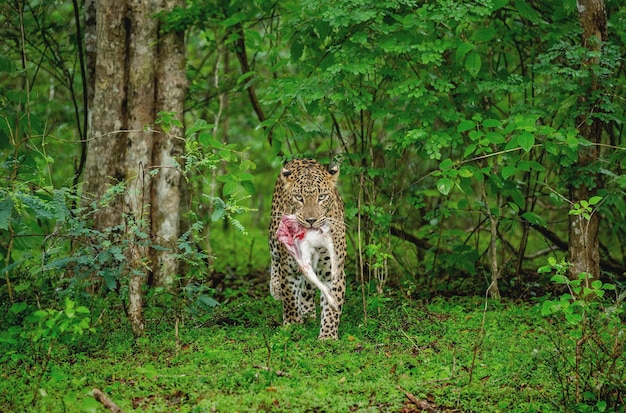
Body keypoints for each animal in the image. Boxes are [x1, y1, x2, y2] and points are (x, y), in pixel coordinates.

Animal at [268, 158, 346, 338]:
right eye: (299, 197)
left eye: (322, 197)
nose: (311, 220)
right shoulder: (289, 269)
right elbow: (290, 298)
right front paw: (293, 326)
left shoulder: (333, 271)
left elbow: (332, 305)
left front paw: (328, 336)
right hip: (274, 232)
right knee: (274, 257)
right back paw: (276, 288)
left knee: (308, 288)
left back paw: (308, 311)